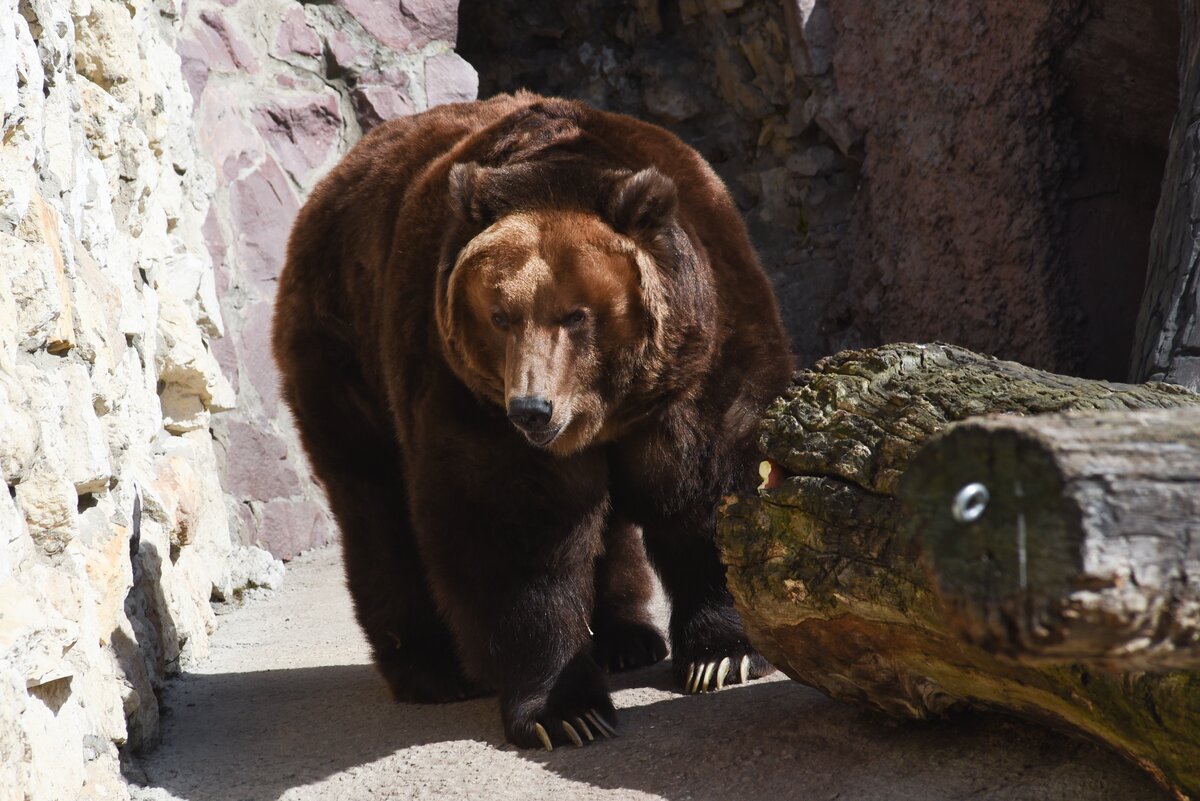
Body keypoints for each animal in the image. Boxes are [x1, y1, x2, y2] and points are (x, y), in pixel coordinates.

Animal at [274, 94, 796, 753]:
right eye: (500, 314)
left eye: (576, 314)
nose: (532, 408)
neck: (609, 407)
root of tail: (330, 184)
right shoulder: (465, 386)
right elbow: (518, 533)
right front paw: (566, 709)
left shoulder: (698, 358)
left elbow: (708, 486)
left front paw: (723, 656)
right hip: (345, 348)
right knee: (374, 505)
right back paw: (432, 670)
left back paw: (629, 637)